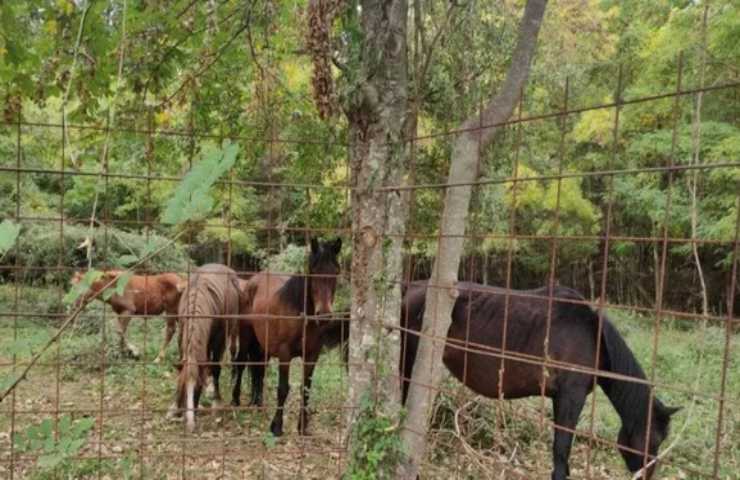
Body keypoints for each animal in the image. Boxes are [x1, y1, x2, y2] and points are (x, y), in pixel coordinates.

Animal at [171, 264, 240, 434]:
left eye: (197, 389)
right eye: (182, 389)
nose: (190, 425)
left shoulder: (219, 339)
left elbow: (215, 368)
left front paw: (216, 400)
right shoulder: (182, 334)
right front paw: (175, 406)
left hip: (232, 328)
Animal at [231, 238, 344, 436]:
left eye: (335, 272)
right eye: (313, 270)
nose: (323, 315)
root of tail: (251, 282)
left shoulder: (312, 356)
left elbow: (305, 389)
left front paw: (303, 427)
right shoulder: (285, 354)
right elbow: (283, 389)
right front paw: (276, 427)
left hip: (263, 344)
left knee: (259, 368)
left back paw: (258, 402)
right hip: (245, 336)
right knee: (241, 363)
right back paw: (236, 400)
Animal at [402, 282, 680, 480]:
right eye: (655, 439)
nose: (646, 476)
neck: (594, 337)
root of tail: (411, 287)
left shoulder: (560, 398)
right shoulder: (571, 396)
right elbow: (561, 450)